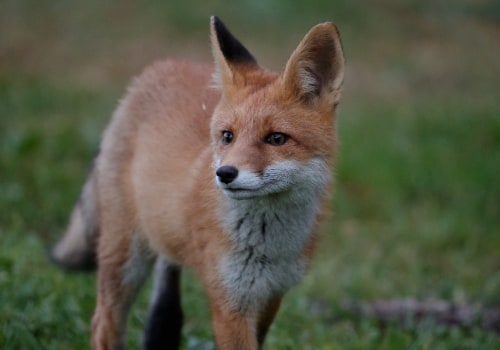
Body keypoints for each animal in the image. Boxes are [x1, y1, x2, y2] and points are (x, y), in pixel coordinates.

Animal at [52, 15, 346, 350]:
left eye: (276, 139)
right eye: (227, 136)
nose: (226, 173)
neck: (270, 245)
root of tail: (155, 69)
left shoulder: (271, 295)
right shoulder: (230, 300)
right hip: (124, 255)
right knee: (103, 323)